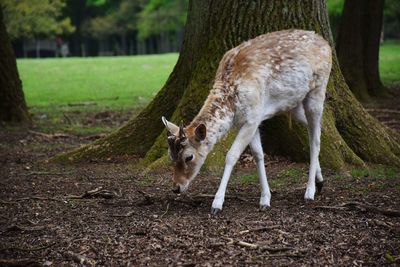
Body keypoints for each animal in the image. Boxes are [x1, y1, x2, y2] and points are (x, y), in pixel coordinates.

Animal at [161, 28, 332, 216]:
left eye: (189, 157)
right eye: (170, 155)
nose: (176, 187)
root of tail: (326, 44)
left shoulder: (252, 117)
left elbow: (232, 155)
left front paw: (217, 204)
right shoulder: (248, 121)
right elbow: (258, 154)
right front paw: (265, 199)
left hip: (318, 89)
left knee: (315, 139)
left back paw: (310, 191)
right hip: (292, 105)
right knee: (315, 127)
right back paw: (320, 181)